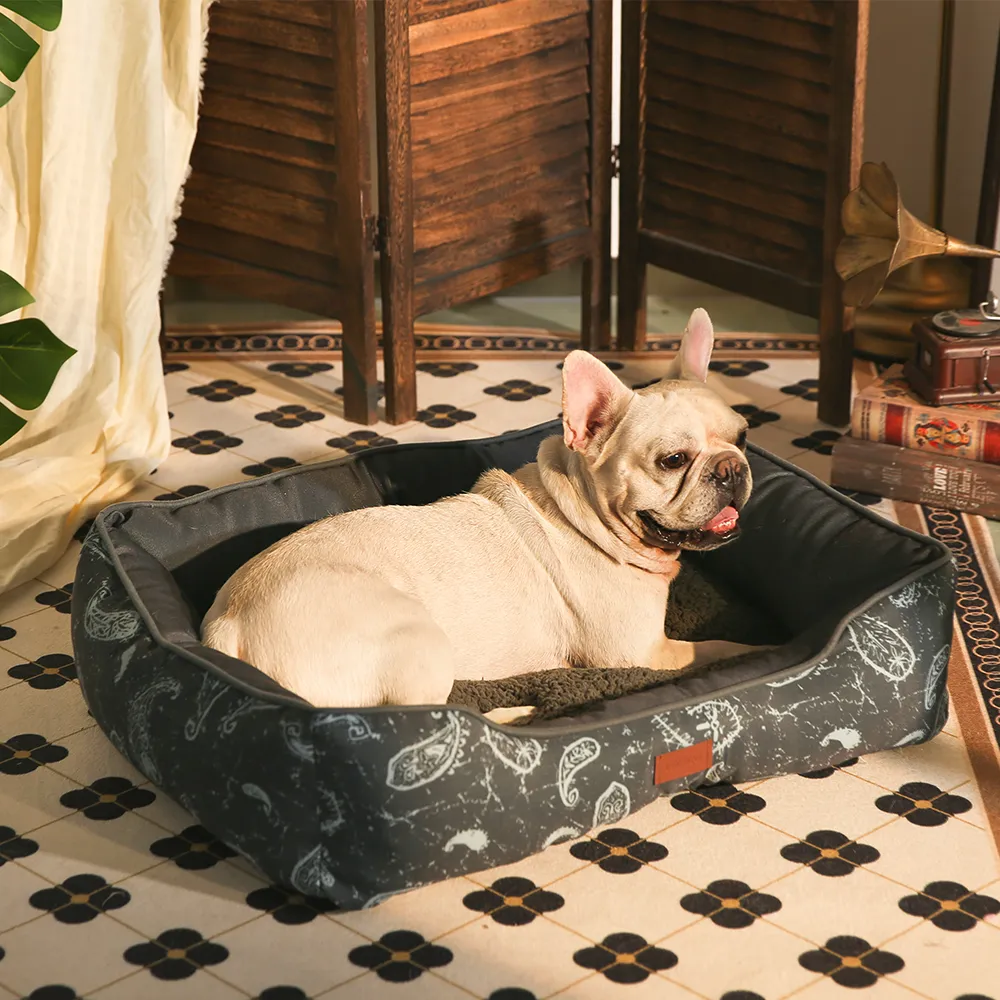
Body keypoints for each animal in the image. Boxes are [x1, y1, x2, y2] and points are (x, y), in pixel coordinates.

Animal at [202, 308, 758, 723]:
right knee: (432, 716)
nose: (731, 467)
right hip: (421, 640)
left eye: (744, 435)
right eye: (673, 460)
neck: (582, 513)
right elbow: (716, 647)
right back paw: (517, 714)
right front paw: (750, 649)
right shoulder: (641, 654)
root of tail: (229, 626)